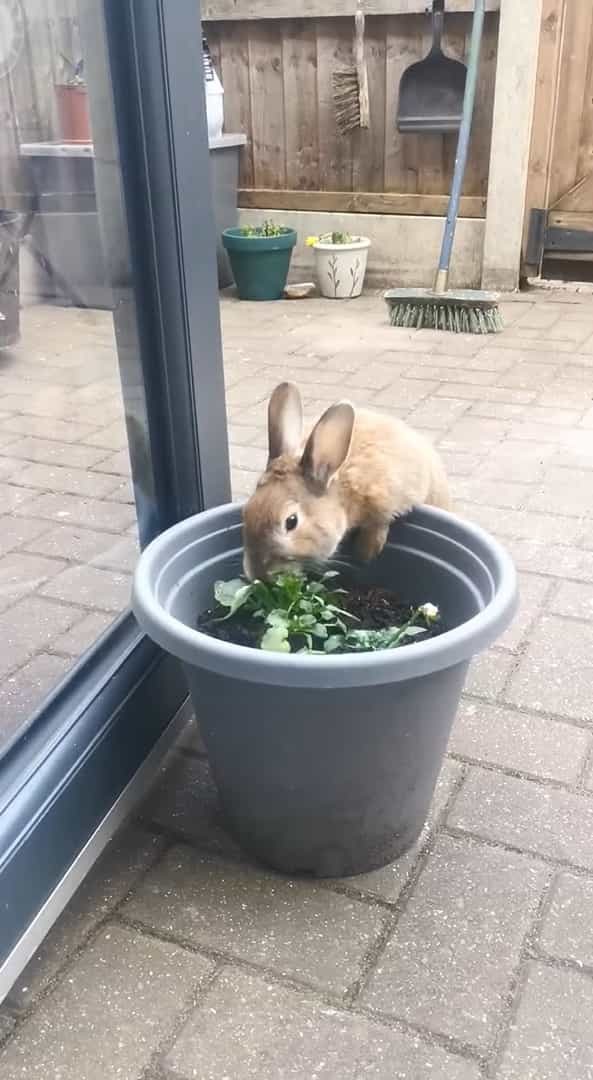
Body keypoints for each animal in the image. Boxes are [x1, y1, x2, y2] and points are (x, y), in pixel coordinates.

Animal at [240, 382, 449, 583]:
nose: (258, 574)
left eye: (291, 521)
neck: (342, 491)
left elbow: (381, 521)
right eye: (246, 511)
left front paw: (366, 552)